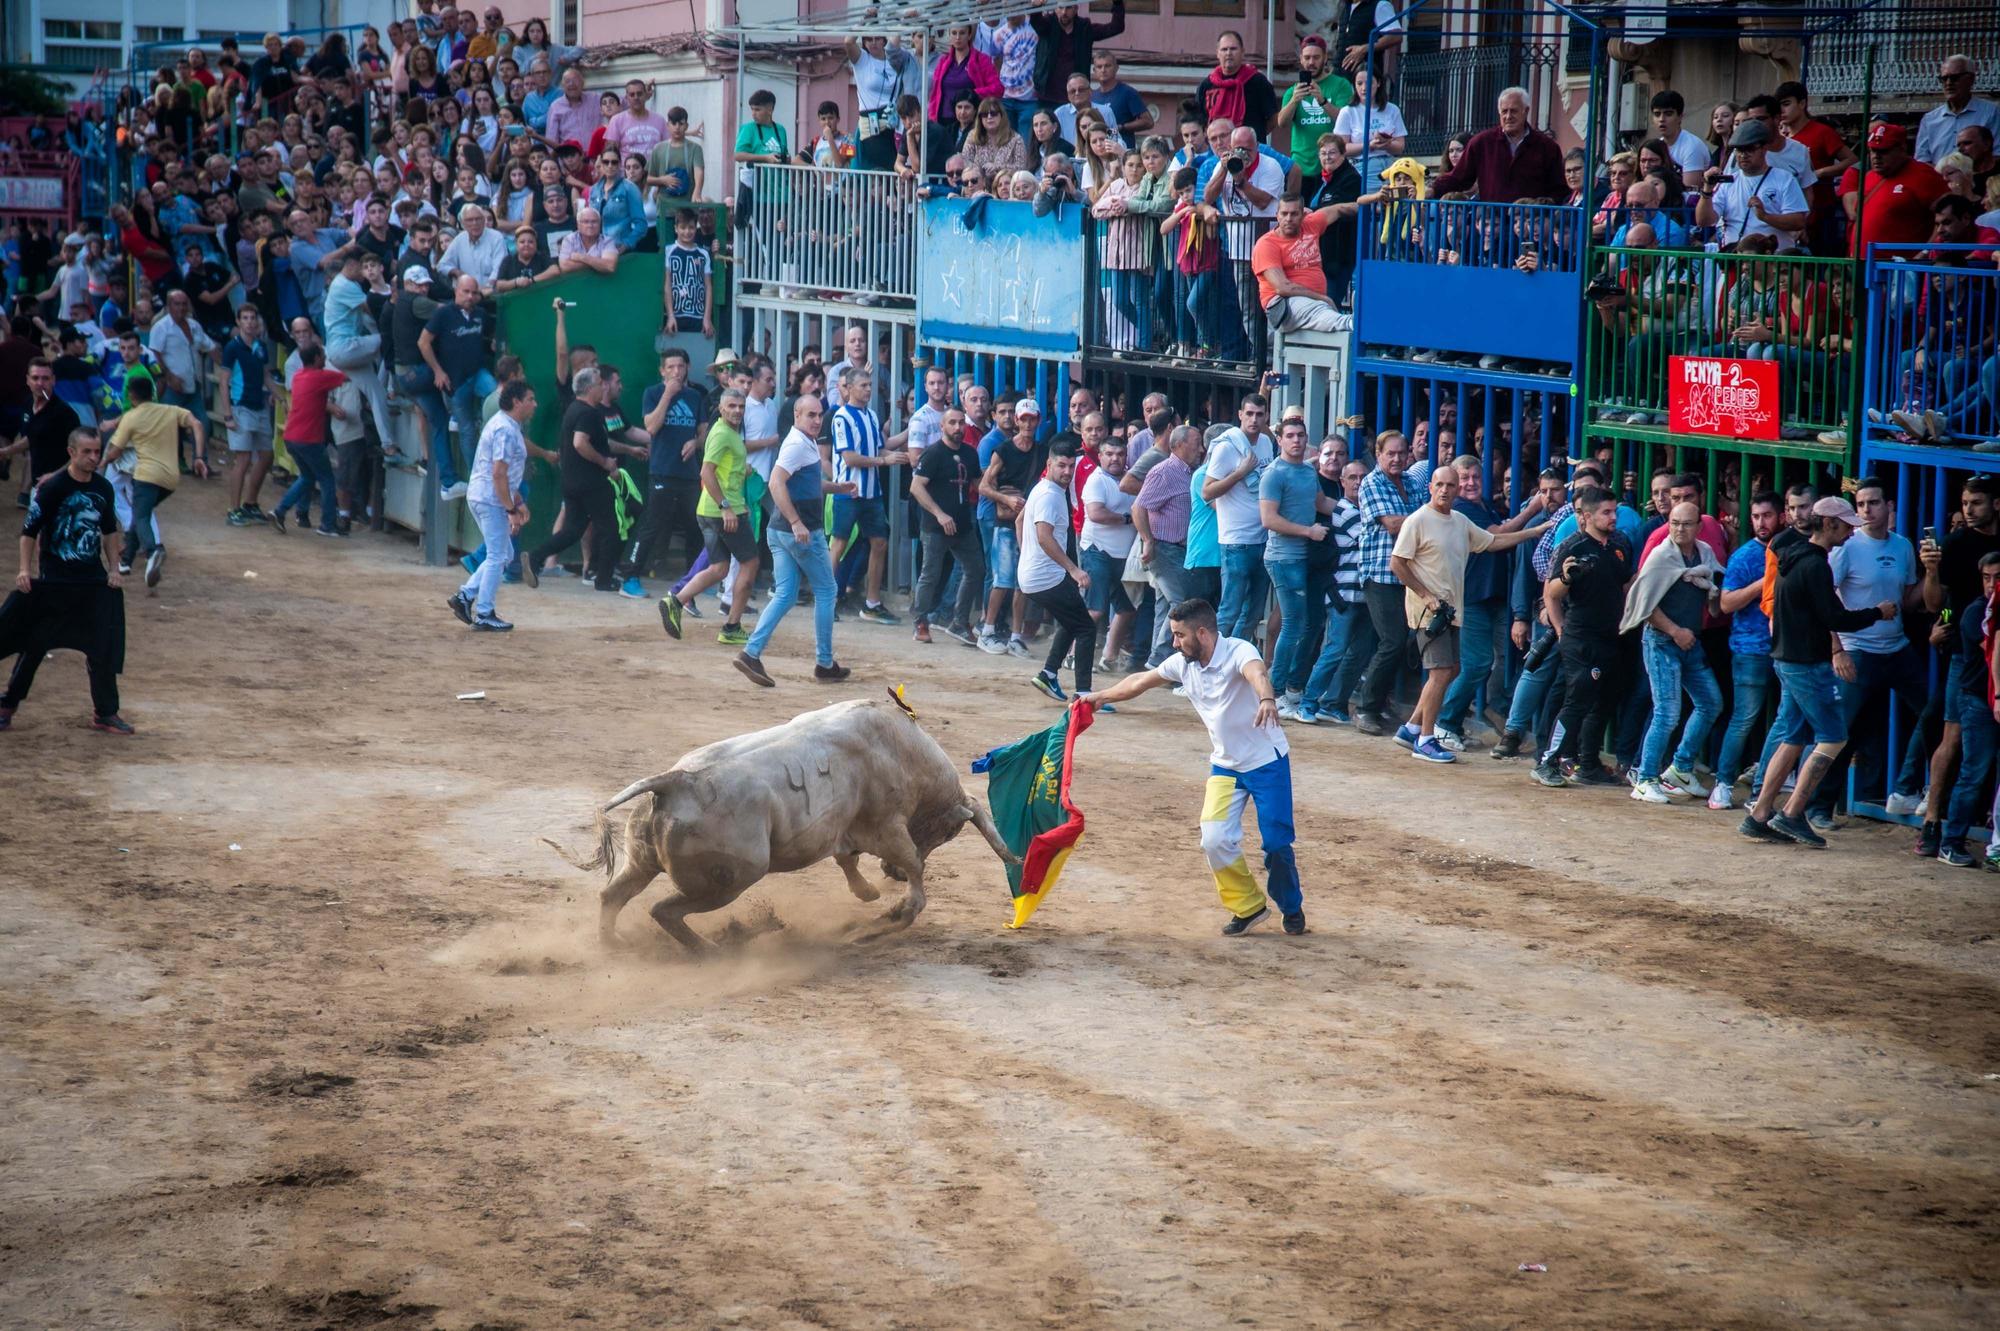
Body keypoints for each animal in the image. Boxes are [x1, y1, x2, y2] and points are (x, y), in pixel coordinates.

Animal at [548, 695, 1016, 943]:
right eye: (949, 832)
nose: (890, 874)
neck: (904, 751)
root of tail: (675, 780)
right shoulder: (886, 827)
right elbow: (914, 867)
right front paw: (891, 915)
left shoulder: (846, 830)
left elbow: (848, 860)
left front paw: (868, 894)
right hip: (732, 879)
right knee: (663, 910)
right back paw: (708, 950)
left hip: (644, 858)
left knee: (613, 895)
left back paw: (613, 946)